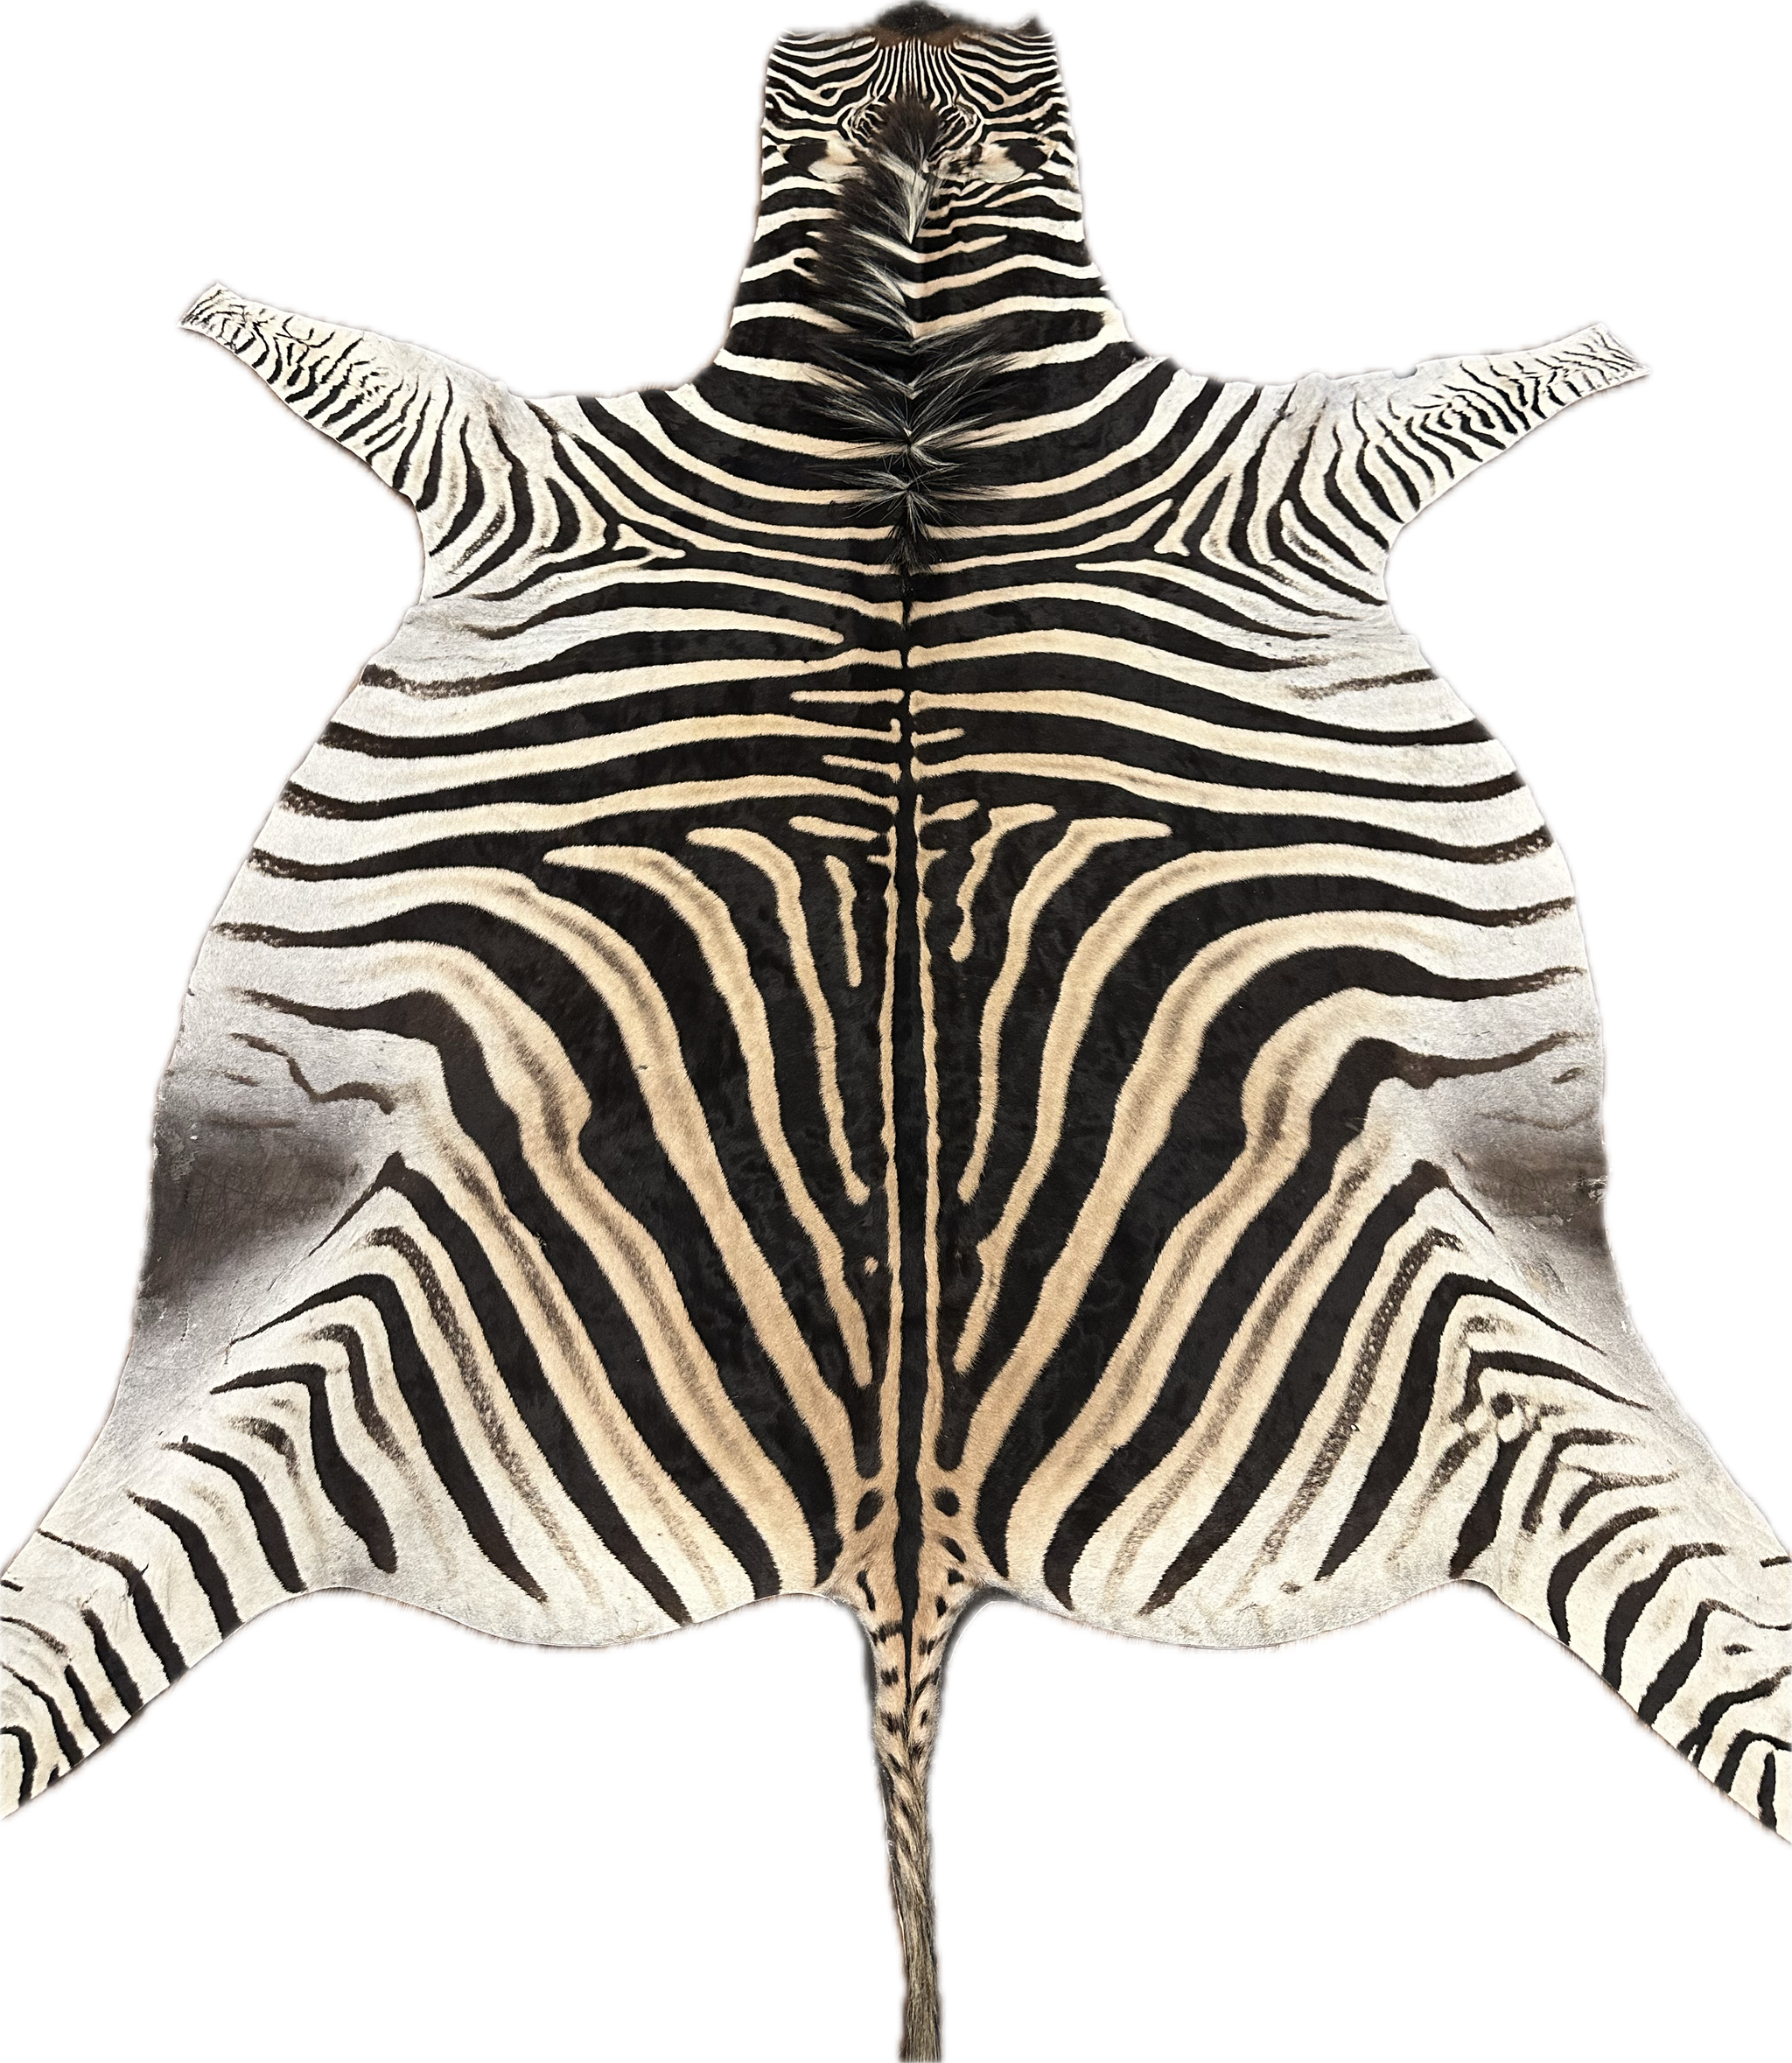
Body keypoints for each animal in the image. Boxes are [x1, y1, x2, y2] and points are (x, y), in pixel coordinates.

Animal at [3, 0, 1784, 2053]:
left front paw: (1603, 350)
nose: (921, 7)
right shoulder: (553, 463)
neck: (910, 359)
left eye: (1007, 75)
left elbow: (1461, 391)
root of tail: (905, 1556)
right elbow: (363, 367)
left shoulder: (1265, 461)